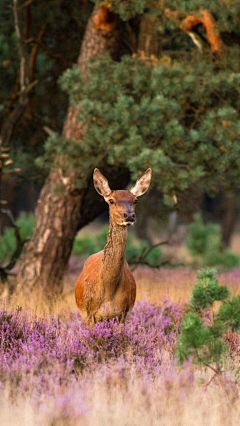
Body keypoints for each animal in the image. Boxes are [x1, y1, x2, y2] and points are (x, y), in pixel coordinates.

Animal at [75, 167, 151, 326]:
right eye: (111, 200)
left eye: (135, 200)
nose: (129, 215)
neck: (108, 289)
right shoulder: (90, 314)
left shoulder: (122, 314)